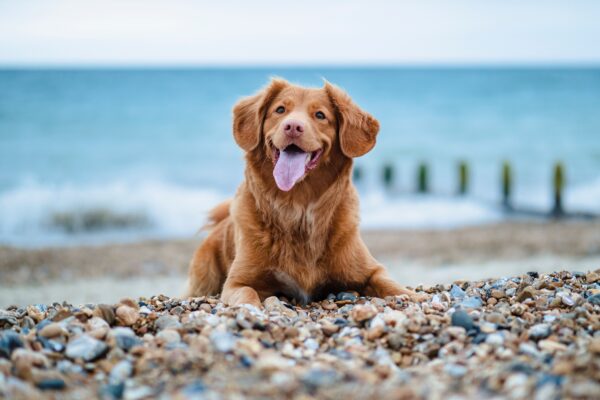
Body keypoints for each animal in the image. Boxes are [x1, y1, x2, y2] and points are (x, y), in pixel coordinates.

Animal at [185, 79, 420, 308]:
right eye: (280, 110)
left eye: (320, 115)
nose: (293, 127)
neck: (297, 207)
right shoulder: (237, 282)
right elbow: (247, 293)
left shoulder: (370, 269)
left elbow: (388, 283)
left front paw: (409, 295)